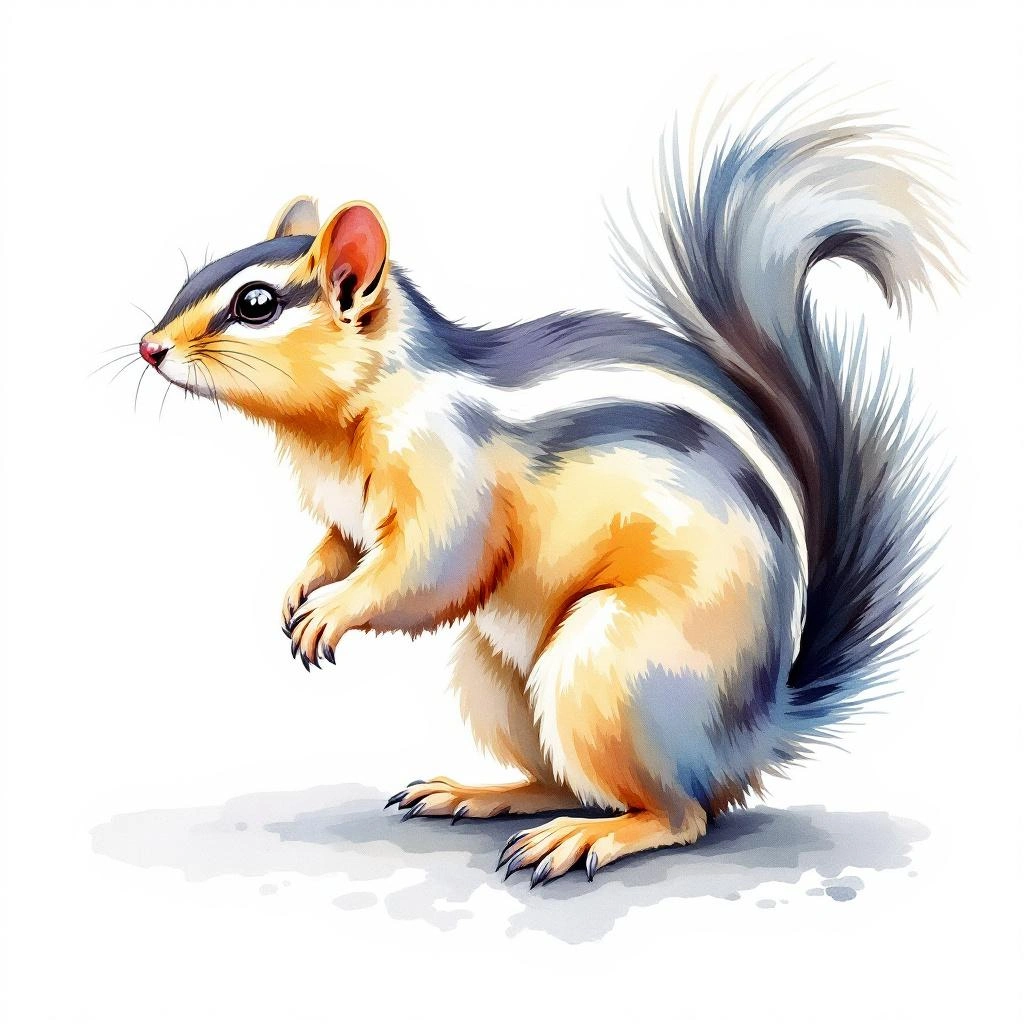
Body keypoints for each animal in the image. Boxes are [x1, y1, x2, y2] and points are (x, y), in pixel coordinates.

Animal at [137, 86, 954, 886]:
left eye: (256, 304)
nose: (149, 347)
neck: (342, 420)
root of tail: (758, 726)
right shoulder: (347, 513)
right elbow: (339, 546)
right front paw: (300, 587)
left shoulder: (448, 471)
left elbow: (432, 568)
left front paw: (332, 610)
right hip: (494, 676)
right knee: (567, 781)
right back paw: (480, 794)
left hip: (609, 670)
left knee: (681, 815)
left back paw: (588, 838)